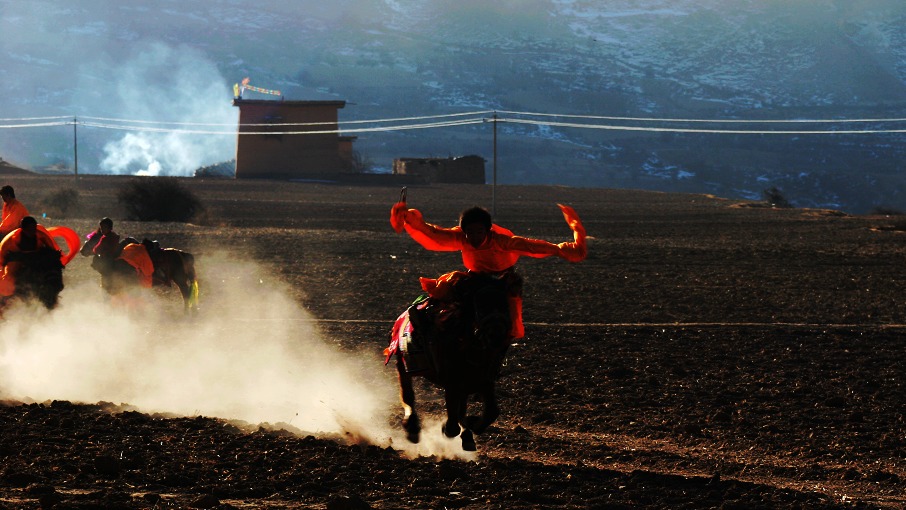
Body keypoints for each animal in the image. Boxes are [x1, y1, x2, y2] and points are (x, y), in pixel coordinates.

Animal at [384, 272, 508, 452]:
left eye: (505, 303)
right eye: (479, 304)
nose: (497, 336)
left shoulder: (484, 380)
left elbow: (492, 411)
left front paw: (473, 426)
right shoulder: (452, 381)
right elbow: (452, 420)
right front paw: (450, 428)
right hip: (403, 363)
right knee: (408, 394)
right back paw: (412, 427)